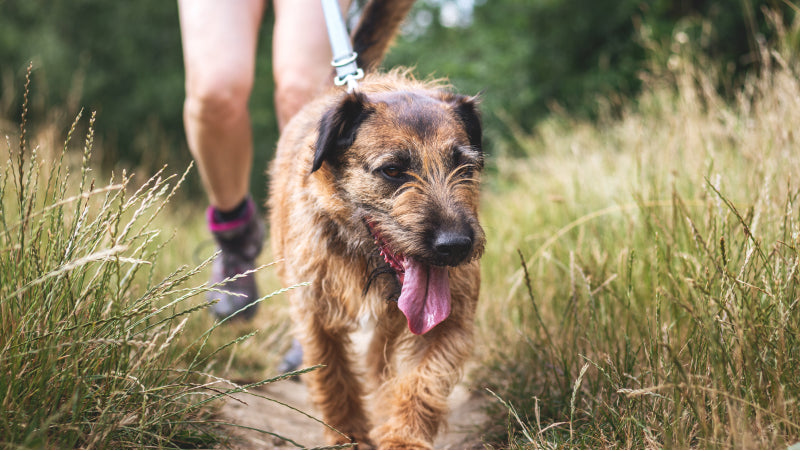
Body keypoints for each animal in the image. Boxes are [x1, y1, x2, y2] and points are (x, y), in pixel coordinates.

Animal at [268, 1, 484, 448]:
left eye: (465, 167)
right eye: (393, 170)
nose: (455, 245)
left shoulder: (450, 316)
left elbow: (424, 379)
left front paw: (403, 436)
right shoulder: (315, 313)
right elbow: (334, 376)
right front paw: (349, 435)